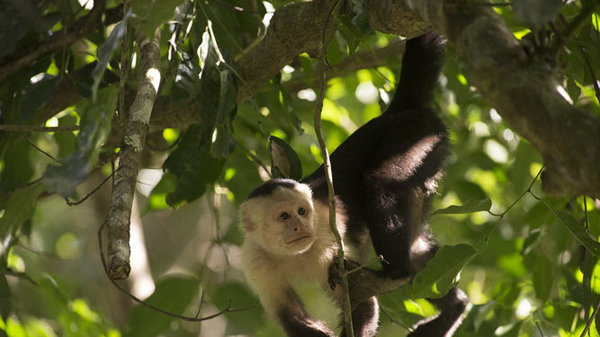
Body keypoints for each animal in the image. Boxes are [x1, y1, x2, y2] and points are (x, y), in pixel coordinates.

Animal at [239, 30, 468, 334]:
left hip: (417, 135)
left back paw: (392, 274)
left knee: (382, 183)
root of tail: (396, 112)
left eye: (302, 211)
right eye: (284, 216)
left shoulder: (325, 240)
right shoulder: (255, 263)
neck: (291, 255)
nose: (300, 225)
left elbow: (362, 306)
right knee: (419, 255)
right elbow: (291, 318)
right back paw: (454, 307)